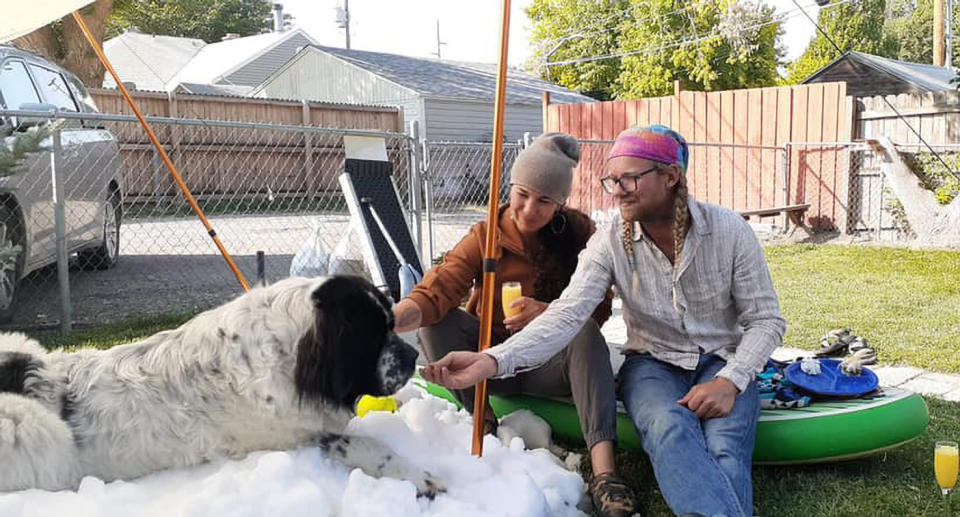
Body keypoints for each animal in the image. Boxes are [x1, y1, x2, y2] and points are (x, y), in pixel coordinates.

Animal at [0, 276, 438, 494]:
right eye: (374, 335)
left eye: (393, 323)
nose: (412, 355)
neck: (285, 357)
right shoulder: (292, 439)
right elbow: (370, 446)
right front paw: (424, 480)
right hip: (28, 426)